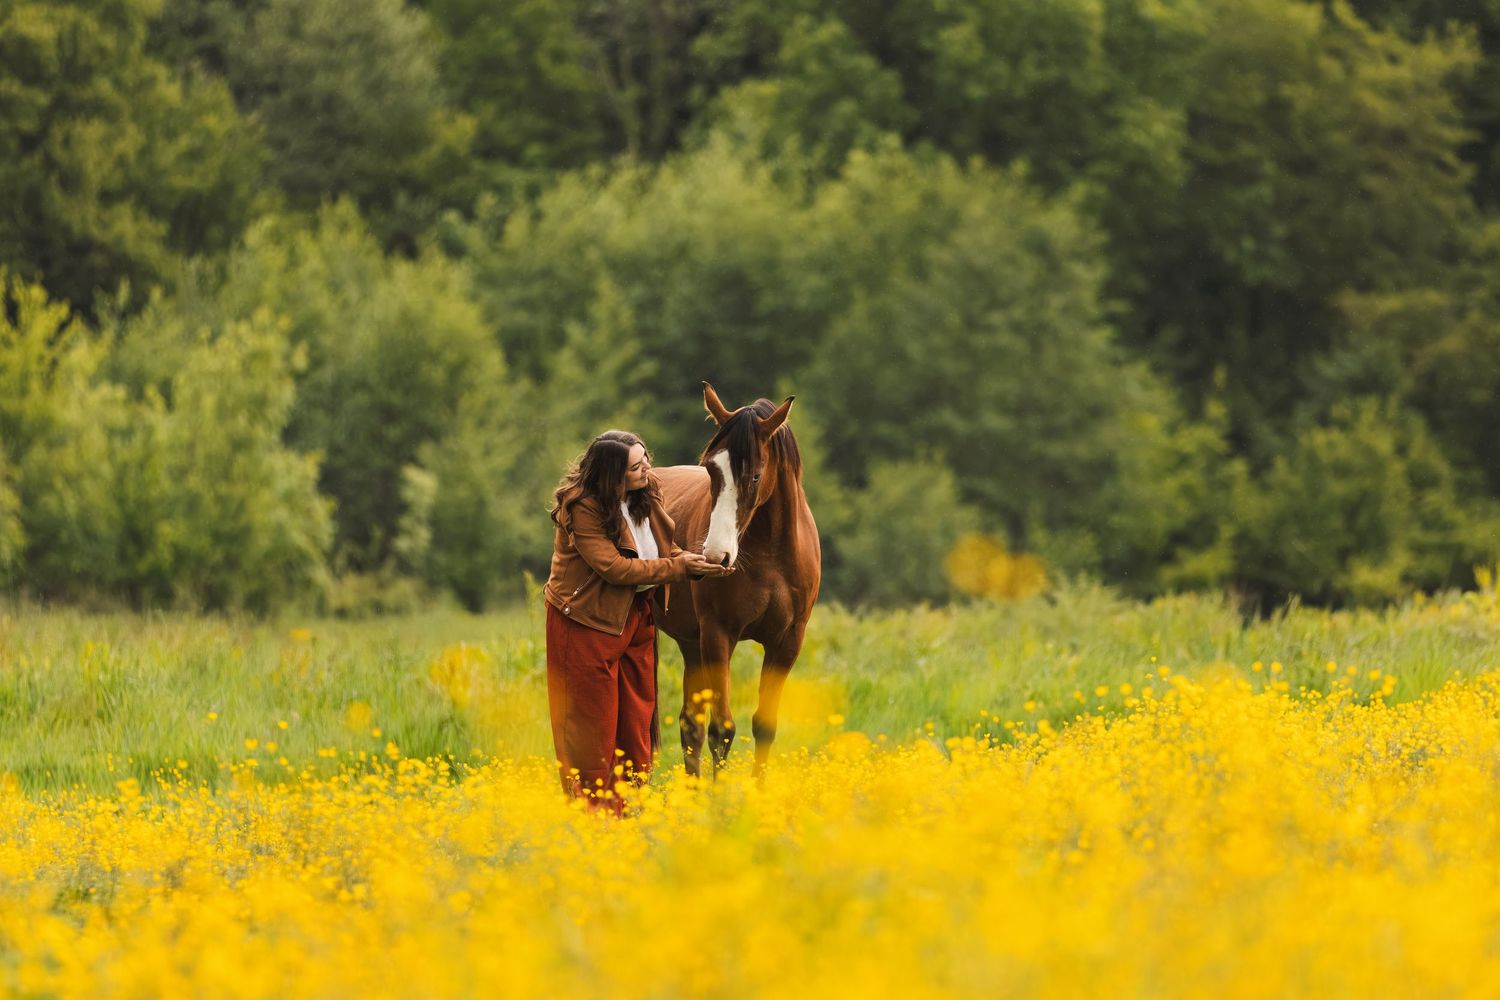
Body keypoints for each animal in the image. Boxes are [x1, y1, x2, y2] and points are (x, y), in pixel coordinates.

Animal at [651, 383, 821, 777]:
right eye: (711, 470)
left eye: (755, 475)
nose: (717, 556)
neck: (770, 555)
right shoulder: (719, 635)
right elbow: (722, 730)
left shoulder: (786, 643)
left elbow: (764, 726)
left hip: (691, 644)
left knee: (690, 725)